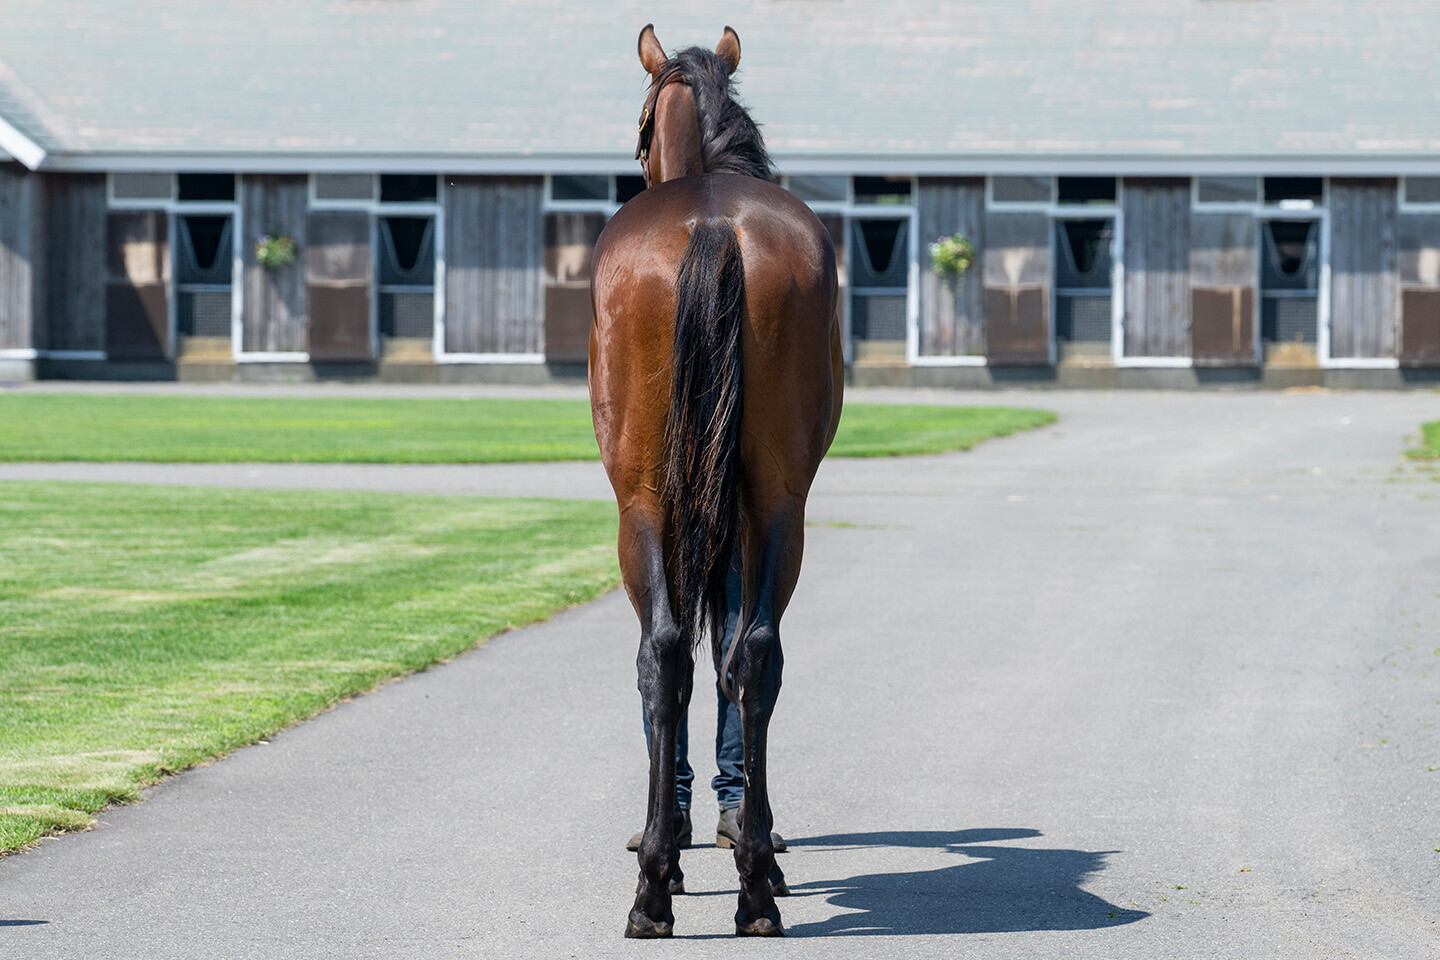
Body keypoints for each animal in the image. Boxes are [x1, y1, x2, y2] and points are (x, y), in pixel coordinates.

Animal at [588, 24, 844, 938]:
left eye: (637, 131)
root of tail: (712, 224)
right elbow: (732, 641)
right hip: (775, 502)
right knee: (750, 655)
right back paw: (755, 886)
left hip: (642, 504)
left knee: (665, 655)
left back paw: (660, 882)